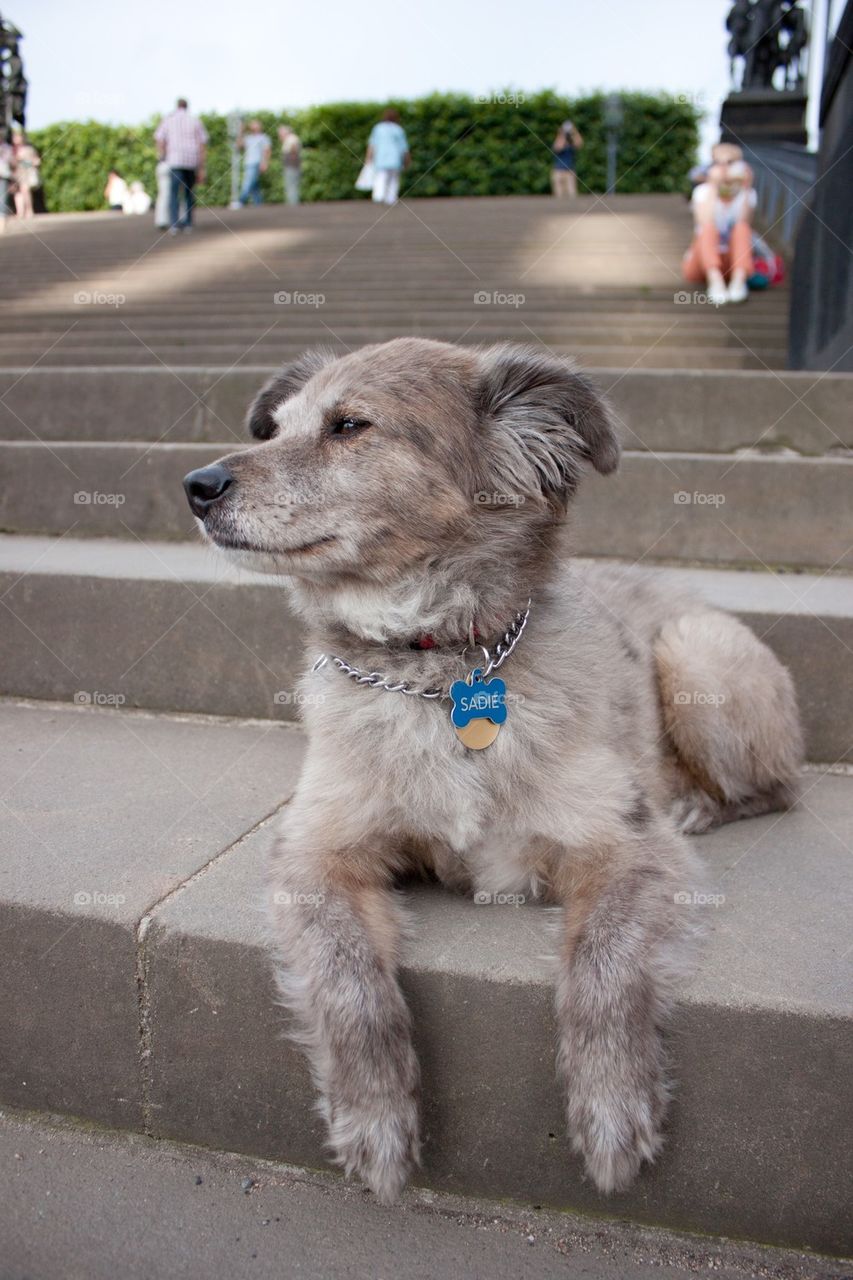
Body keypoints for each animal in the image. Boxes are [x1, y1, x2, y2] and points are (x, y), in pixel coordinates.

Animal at [183, 335, 799, 1203]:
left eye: (349, 426)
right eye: (275, 428)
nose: (196, 486)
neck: (436, 670)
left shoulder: (629, 850)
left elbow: (603, 964)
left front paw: (612, 1109)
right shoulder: (313, 852)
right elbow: (346, 978)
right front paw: (374, 1119)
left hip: (696, 652)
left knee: (777, 787)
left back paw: (696, 804)